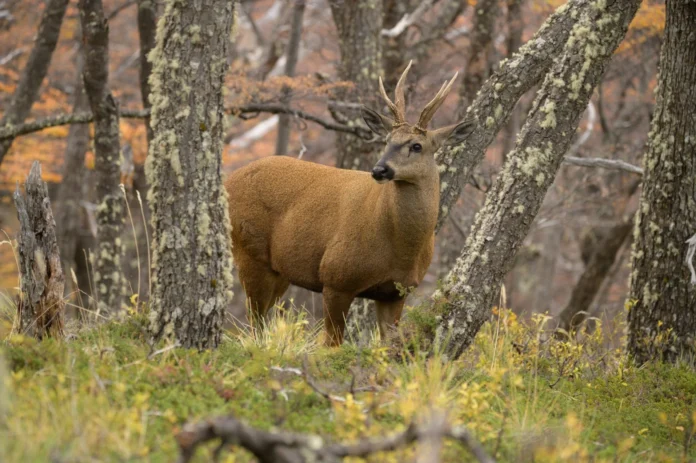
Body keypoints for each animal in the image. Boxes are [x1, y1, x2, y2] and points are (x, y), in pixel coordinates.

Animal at [225, 62, 474, 346]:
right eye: (386, 141)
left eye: (416, 145)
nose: (379, 169)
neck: (400, 247)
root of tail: (228, 180)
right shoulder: (336, 279)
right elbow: (331, 345)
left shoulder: (396, 291)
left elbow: (386, 345)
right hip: (249, 253)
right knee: (254, 322)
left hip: (279, 270)